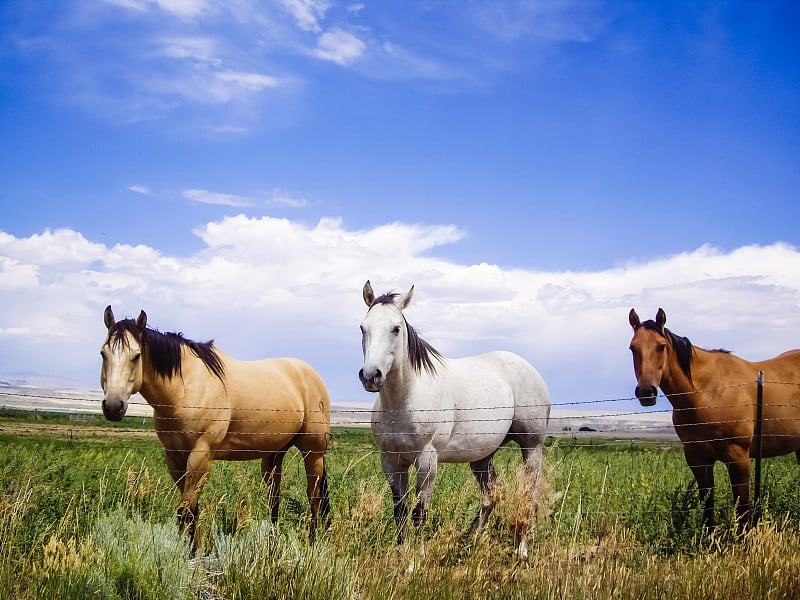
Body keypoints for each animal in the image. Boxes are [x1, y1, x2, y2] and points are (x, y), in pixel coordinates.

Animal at [101, 308, 332, 548]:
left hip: (312, 451)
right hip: (274, 453)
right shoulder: (174, 457)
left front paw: (191, 552)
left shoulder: (201, 455)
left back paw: (314, 542)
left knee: (314, 495)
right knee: (274, 497)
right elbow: (192, 510)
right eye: (103, 354)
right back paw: (272, 543)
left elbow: (186, 511)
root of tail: (311, 375)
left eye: (136, 356)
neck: (186, 388)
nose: (113, 406)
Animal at [360, 278, 552, 556]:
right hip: (483, 457)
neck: (404, 401)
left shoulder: (427, 461)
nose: (370, 376)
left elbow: (420, 512)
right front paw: (401, 551)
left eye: (396, 329)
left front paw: (417, 557)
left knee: (529, 493)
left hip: (532, 447)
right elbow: (400, 510)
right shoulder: (391, 461)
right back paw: (472, 540)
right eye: (363, 328)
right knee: (491, 494)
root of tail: (529, 368)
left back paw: (522, 549)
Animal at [628, 310, 800, 524]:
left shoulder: (738, 457)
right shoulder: (698, 458)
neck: (707, 392)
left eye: (661, 346)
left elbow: (742, 507)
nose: (646, 392)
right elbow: (707, 505)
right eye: (633, 348)